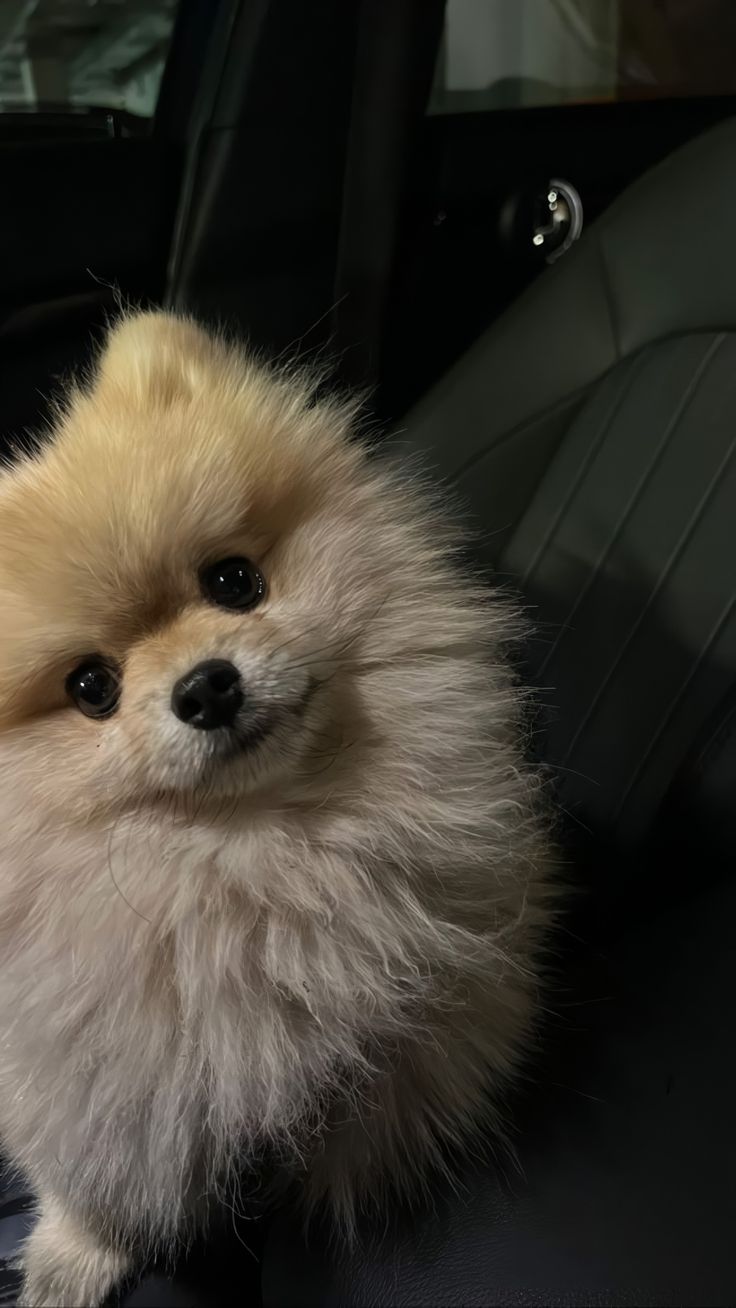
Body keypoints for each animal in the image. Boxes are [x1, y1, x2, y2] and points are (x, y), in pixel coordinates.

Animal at [0, 311, 554, 1302]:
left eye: (233, 582)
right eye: (91, 687)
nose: (206, 687)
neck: (256, 853)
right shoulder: (79, 1074)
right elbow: (96, 1171)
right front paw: (74, 1254)